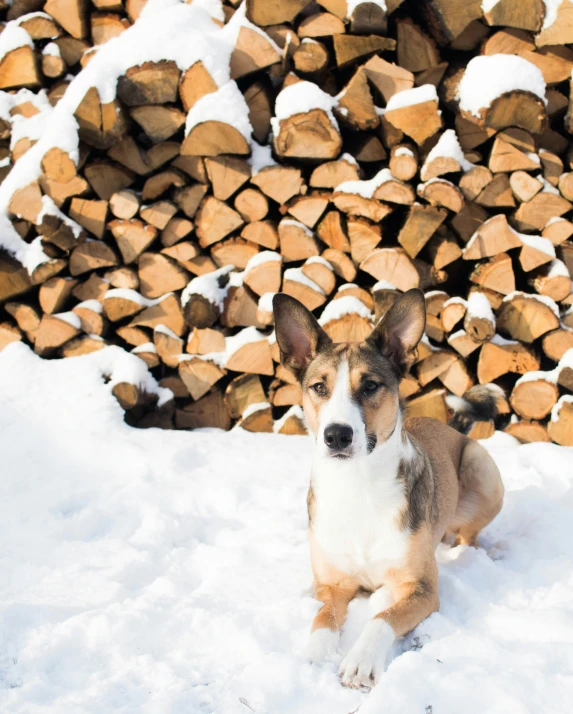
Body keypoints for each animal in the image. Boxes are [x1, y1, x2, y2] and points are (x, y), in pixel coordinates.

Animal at [272, 286, 500, 688]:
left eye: (370, 385)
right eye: (319, 387)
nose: (337, 435)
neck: (358, 485)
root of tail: (452, 428)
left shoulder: (421, 589)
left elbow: (382, 617)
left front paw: (361, 660)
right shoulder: (332, 585)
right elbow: (322, 616)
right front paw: (315, 653)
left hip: (481, 467)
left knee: (469, 534)